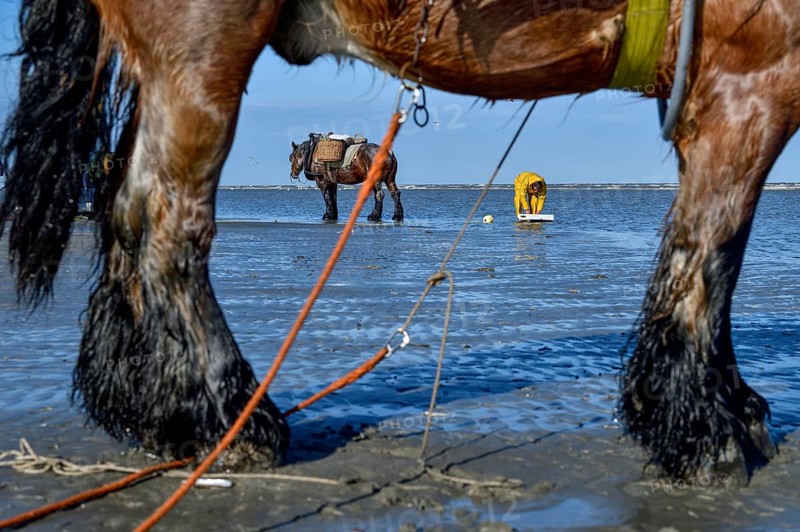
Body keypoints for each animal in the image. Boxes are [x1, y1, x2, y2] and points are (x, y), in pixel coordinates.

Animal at [1, 0, 797, 480]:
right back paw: (220, 414)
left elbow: (712, 248)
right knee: (160, 216)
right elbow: (712, 249)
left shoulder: (745, 84)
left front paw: (713, 413)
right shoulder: (746, 80)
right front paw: (707, 422)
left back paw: (172, 405)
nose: (293, 172)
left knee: (139, 209)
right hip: (198, 49)